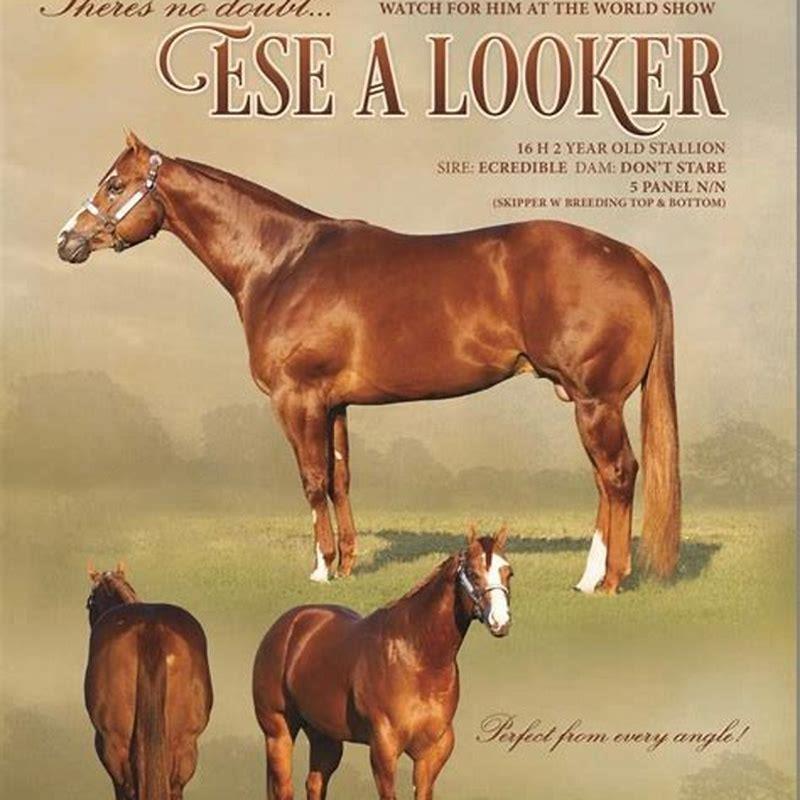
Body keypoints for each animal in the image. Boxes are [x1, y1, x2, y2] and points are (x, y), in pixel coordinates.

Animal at [57, 131, 680, 593]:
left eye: (114, 185)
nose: (67, 241)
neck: (282, 263)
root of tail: (629, 256)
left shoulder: (298, 398)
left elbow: (312, 482)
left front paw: (320, 570)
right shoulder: (334, 404)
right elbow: (340, 480)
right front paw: (350, 564)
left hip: (596, 401)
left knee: (618, 475)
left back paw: (609, 582)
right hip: (589, 402)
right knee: (604, 480)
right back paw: (589, 578)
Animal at [252, 525, 513, 800]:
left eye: (509, 572)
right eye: (473, 573)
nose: (500, 621)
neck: (418, 658)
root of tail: (287, 625)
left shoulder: (433, 752)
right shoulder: (383, 749)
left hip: (325, 737)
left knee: (314, 784)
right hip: (278, 731)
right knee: (284, 788)